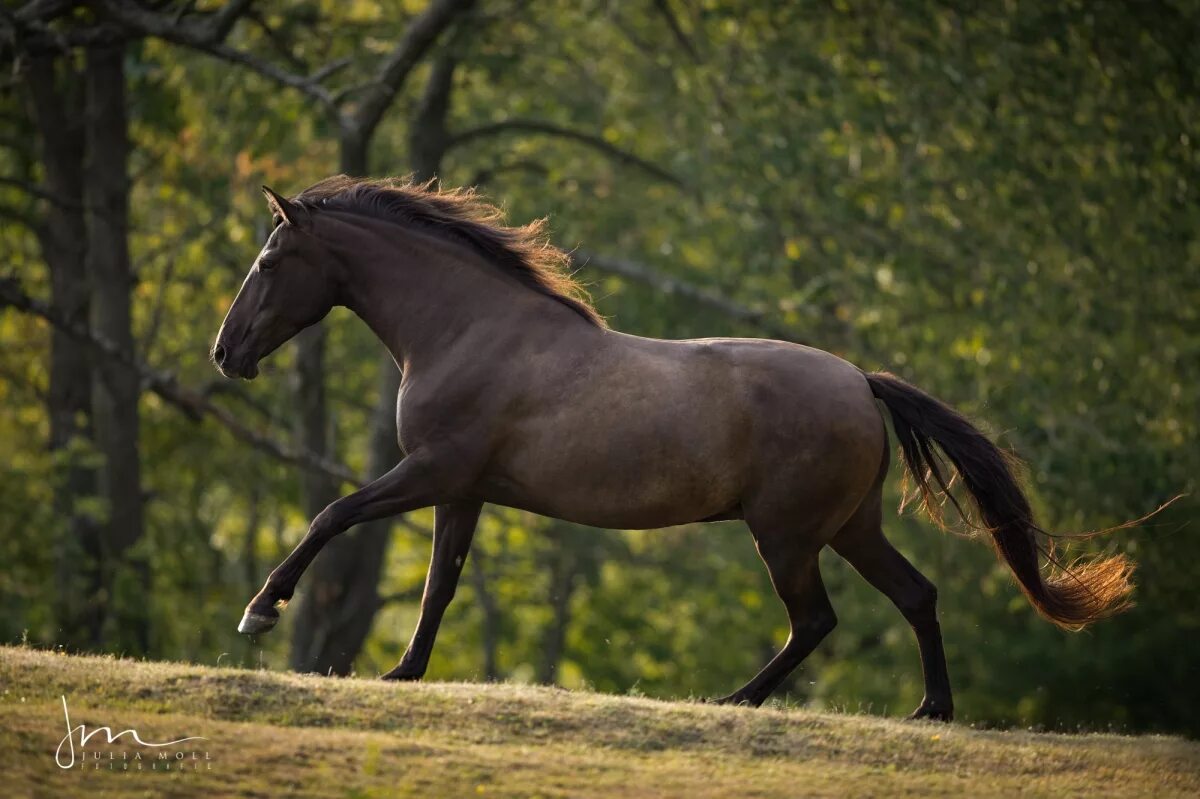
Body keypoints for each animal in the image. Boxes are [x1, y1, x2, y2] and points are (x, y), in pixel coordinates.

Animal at [208, 173, 1132, 715]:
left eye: (267, 260)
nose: (225, 353)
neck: (468, 330)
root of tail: (862, 382)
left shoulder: (431, 470)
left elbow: (332, 514)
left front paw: (261, 609)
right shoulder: (461, 490)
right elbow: (439, 584)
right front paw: (403, 673)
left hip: (787, 535)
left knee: (818, 618)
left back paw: (733, 700)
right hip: (849, 526)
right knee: (915, 594)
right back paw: (929, 710)